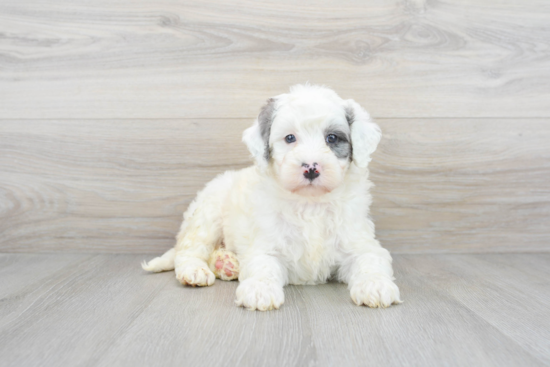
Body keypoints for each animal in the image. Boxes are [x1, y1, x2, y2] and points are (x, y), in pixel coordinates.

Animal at [142, 85, 404, 312]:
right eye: (289, 138)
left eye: (331, 138)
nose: (311, 168)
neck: (310, 203)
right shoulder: (266, 242)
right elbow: (262, 265)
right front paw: (260, 290)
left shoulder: (358, 240)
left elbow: (369, 260)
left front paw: (375, 285)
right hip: (208, 213)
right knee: (190, 250)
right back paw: (196, 271)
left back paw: (225, 263)